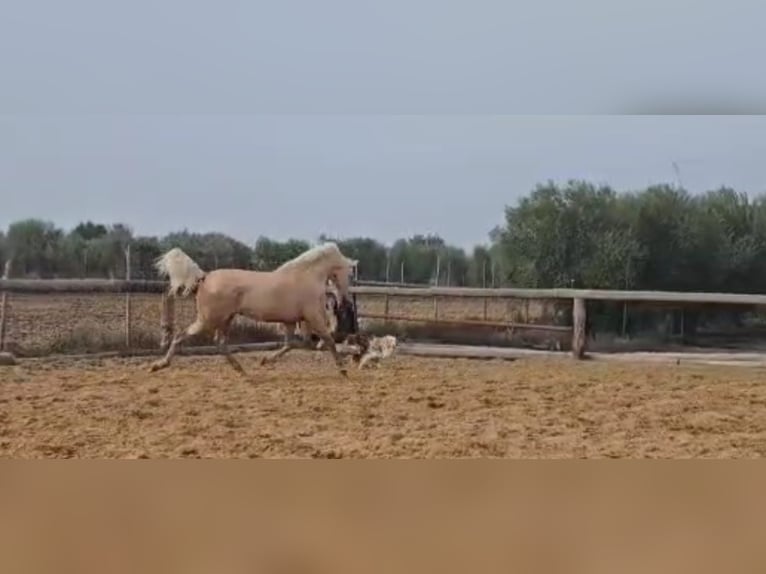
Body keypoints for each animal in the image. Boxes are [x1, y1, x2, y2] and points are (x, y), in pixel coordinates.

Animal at [150, 243, 360, 378]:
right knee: (181, 336)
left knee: (220, 344)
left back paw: (241, 370)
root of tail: (204, 277)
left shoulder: (291, 321)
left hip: (225, 319)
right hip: (208, 320)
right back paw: (158, 365)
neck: (305, 277)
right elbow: (328, 341)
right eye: (349, 273)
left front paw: (265, 361)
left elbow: (292, 344)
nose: (346, 299)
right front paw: (343, 370)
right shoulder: (314, 318)